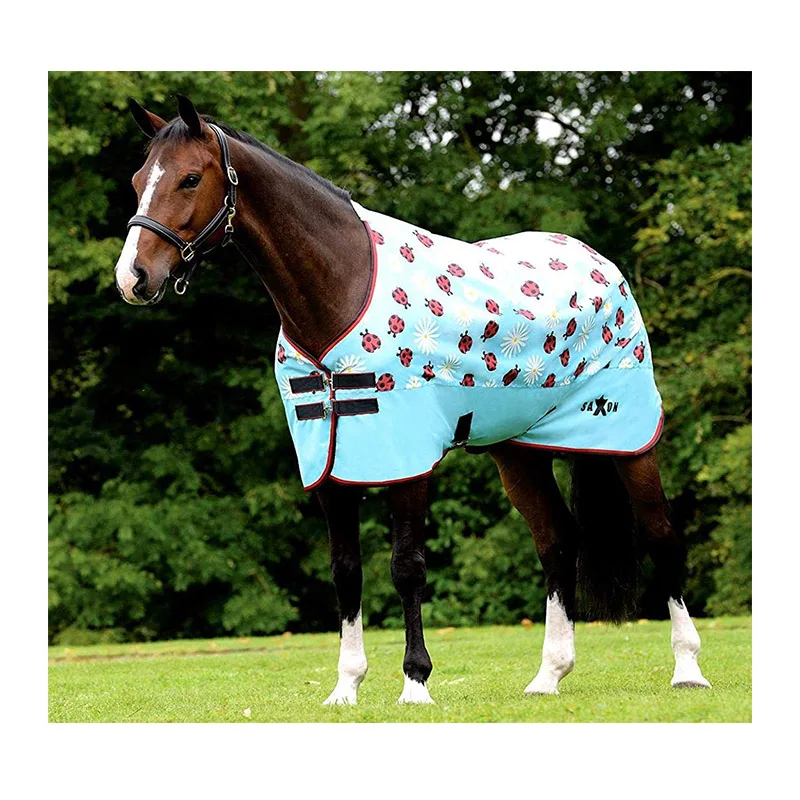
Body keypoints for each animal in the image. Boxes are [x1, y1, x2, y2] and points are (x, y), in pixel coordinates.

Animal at [113, 95, 711, 705]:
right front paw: (346, 686)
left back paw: (687, 668)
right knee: (557, 542)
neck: (342, 288)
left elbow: (406, 568)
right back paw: (549, 675)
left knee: (661, 536)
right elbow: (345, 571)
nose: (132, 277)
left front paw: (415, 681)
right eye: (138, 179)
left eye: (190, 178)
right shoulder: (329, 467)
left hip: (630, 442)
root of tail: (598, 261)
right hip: (518, 452)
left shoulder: (407, 461)